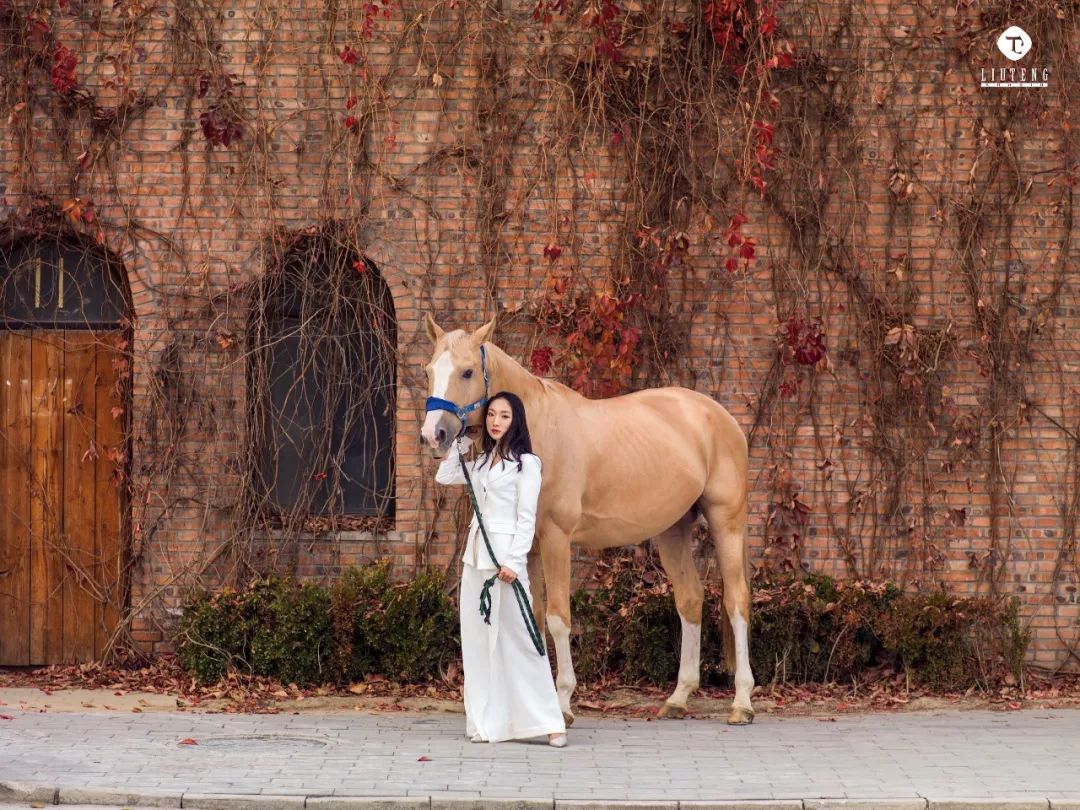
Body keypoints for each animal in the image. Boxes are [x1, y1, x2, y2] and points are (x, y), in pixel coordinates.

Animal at [416, 313, 756, 725]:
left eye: (467, 372)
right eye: (429, 370)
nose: (434, 435)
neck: (534, 433)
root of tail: (720, 416)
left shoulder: (556, 538)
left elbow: (559, 618)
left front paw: (562, 704)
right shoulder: (529, 546)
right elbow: (535, 615)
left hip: (727, 523)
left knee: (737, 602)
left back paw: (742, 702)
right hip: (673, 529)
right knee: (690, 599)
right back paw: (678, 698)